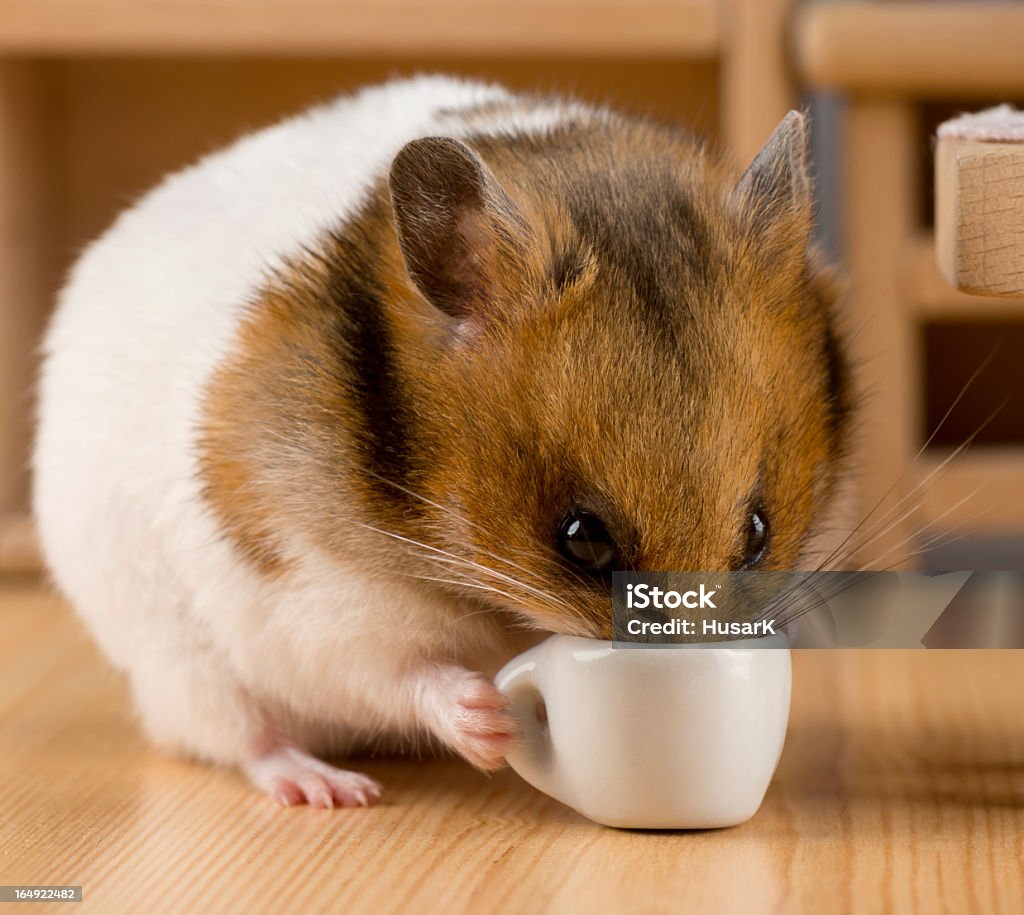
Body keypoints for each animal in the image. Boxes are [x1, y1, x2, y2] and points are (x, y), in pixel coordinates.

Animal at [29, 78, 847, 810]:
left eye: (758, 533)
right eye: (581, 539)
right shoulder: (309, 591)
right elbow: (395, 669)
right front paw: (490, 721)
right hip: (181, 667)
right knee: (242, 738)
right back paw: (330, 788)